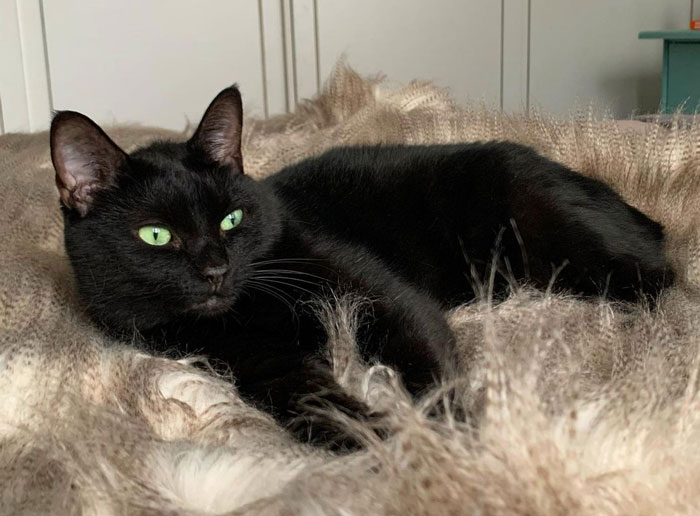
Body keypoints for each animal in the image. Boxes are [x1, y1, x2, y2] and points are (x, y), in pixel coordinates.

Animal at [49, 84, 672, 448]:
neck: (245, 312)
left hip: (558, 229)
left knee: (660, 280)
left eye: (231, 219)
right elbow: (319, 409)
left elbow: (429, 369)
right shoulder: (265, 368)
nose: (216, 269)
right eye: (156, 235)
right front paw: (388, 442)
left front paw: (454, 445)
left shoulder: (384, 298)